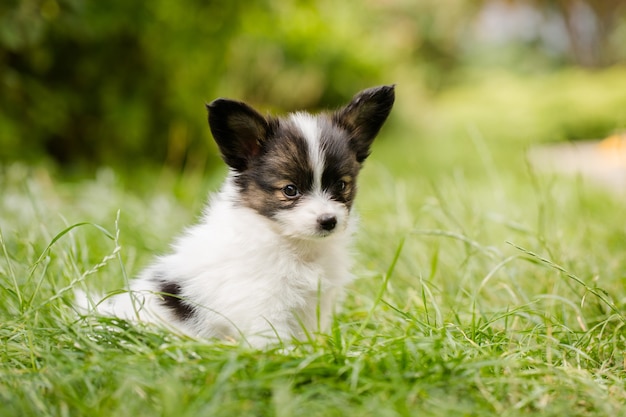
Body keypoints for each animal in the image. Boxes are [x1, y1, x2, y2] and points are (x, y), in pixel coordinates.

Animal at [78, 85, 392, 348]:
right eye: (290, 190)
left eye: (341, 186)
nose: (328, 221)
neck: (294, 246)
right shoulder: (263, 305)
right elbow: (274, 342)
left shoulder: (312, 306)